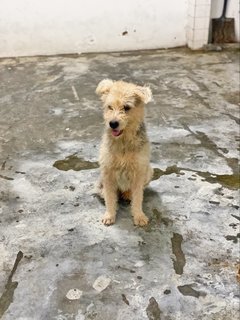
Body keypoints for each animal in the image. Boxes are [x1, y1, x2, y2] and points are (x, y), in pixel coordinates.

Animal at [95, 79, 152, 226]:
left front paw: (139, 216)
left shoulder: (139, 171)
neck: (123, 141)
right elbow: (110, 198)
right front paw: (109, 215)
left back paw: (127, 195)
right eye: (109, 107)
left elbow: (138, 197)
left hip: (149, 171)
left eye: (126, 107)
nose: (112, 124)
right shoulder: (108, 172)